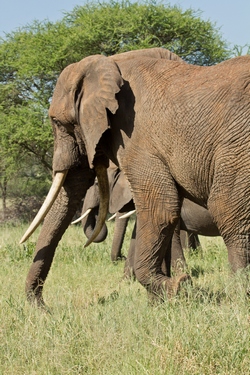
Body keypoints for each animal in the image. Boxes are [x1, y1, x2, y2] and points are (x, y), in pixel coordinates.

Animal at [20, 46, 250, 306]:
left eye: (57, 122)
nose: (44, 308)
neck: (111, 63)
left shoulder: (136, 136)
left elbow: (162, 208)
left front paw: (177, 287)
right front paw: (161, 300)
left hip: (238, 145)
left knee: (228, 212)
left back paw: (239, 298)